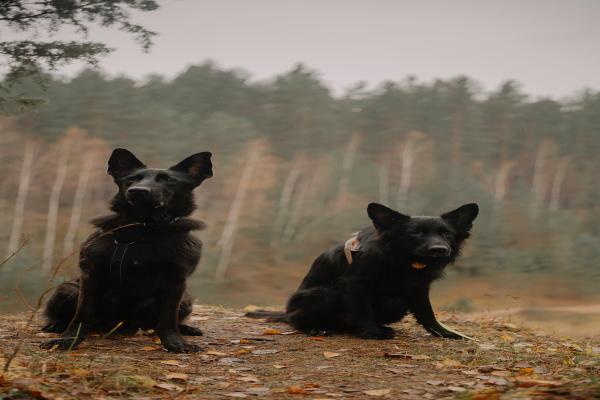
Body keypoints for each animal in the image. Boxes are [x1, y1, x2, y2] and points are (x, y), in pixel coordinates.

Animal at [41, 149, 212, 354]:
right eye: (132, 179)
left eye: (169, 180)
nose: (137, 191)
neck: (143, 229)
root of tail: (125, 324)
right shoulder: (91, 277)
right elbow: (82, 315)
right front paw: (68, 340)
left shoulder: (175, 282)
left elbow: (168, 320)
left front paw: (175, 343)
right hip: (67, 289)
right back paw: (56, 325)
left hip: (185, 300)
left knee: (158, 323)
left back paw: (185, 328)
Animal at [247, 202, 478, 340]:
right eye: (415, 234)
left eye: (446, 234)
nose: (439, 249)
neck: (401, 260)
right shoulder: (356, 284)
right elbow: (362, 309)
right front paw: (371, 332)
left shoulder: (418, 289)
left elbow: (427, 314)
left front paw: (444, 332)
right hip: (322, 294)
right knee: (297, 319)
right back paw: (317, 328)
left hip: (396, 304)